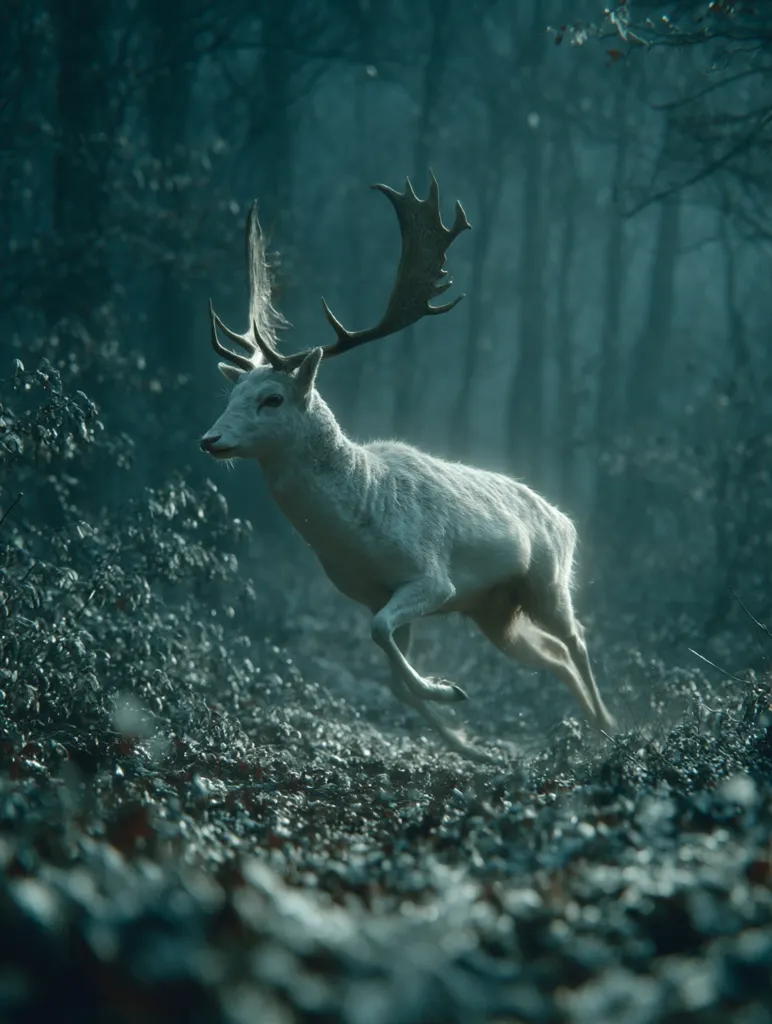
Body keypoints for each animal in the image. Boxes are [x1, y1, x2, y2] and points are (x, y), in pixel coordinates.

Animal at [200, 174, 616, 762]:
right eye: (232, 393)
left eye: (272, 399)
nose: (210, 440)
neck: (356, 524)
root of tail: (566, 520)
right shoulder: (375, 593)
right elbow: (393, 672)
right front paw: (465, 736)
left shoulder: (432, 576)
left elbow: (382, 635)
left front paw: (450, 693)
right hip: (495, 610)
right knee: (551, 655)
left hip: (546, 580)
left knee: (576, 639)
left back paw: (608, 726)